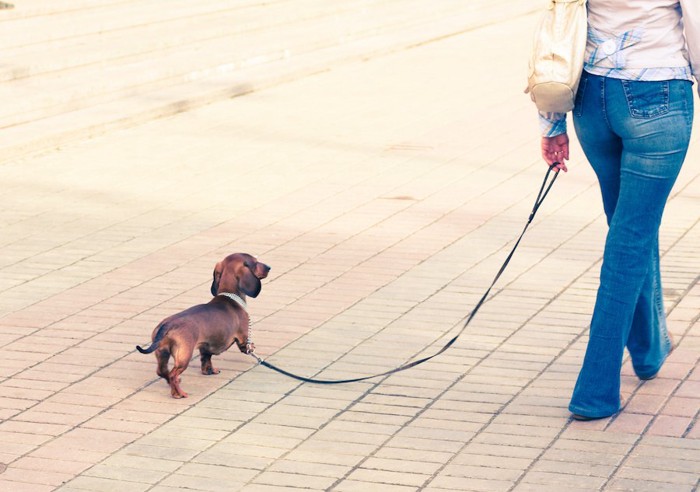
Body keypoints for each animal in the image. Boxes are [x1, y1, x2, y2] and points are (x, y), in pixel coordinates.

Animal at [137, 252, 270, 398]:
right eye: (256, 262)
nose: (269, 267)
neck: (229, 297)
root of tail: (167, 325)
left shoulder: (205, 346)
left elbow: (206, 359)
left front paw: (209, 371)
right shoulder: (243, 338)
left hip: (162, 352)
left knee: (161, 372)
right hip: (184, 355)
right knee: (172, 374)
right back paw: (179, 393)